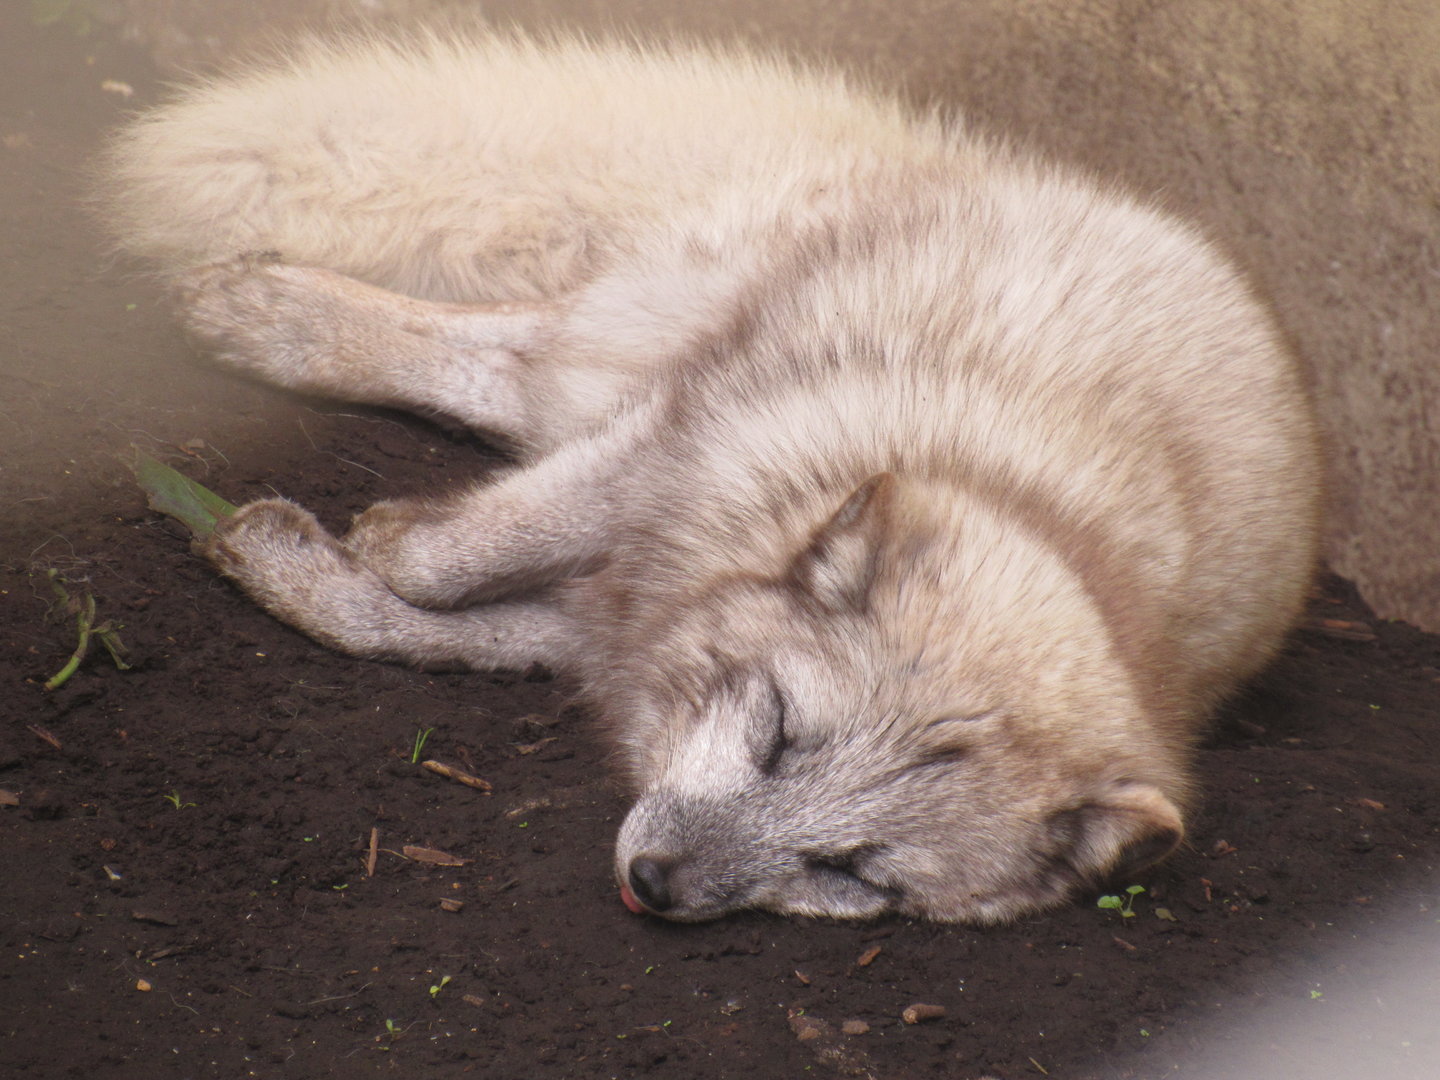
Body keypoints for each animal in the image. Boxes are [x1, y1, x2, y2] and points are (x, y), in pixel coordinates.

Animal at [98, 31, 1322, 923]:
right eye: (779, 734)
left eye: (853, 873)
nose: (654, 884)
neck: (1035, 509)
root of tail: (964, 164)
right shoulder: (674, 440)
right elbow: (448, 565)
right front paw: (384, 540)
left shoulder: (606, 622)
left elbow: (422, 630)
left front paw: (292, 563)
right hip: (659, 332)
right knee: (507, 357)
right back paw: (259, 313)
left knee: (513, 381)